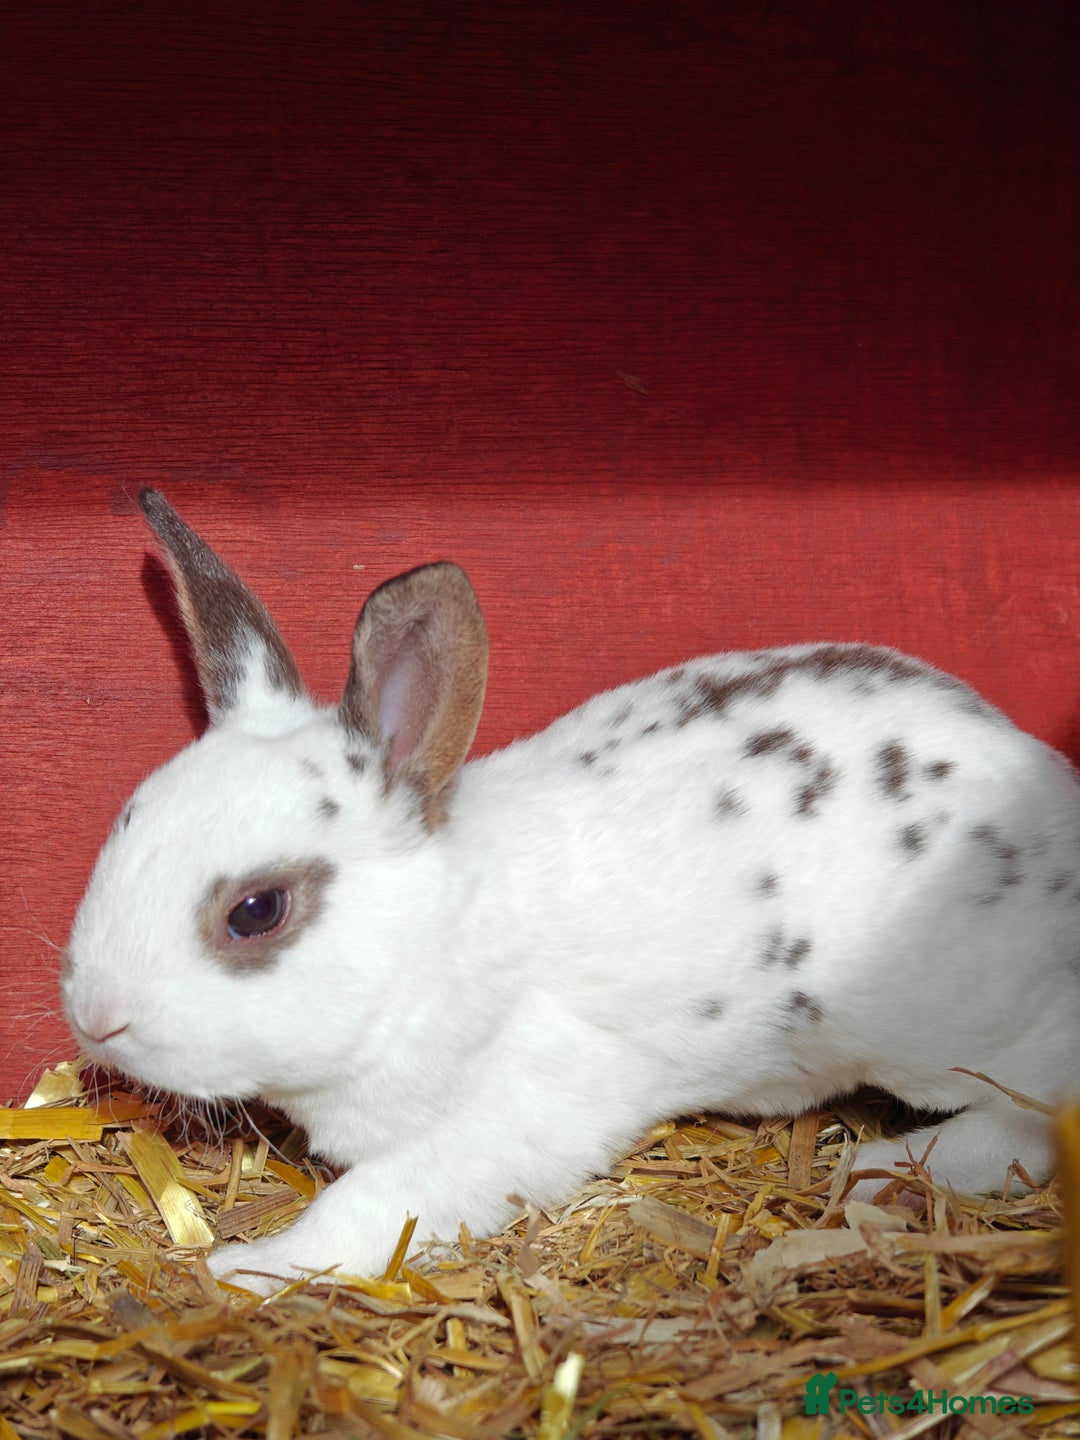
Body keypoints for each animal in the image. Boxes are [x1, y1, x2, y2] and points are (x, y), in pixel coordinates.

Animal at [63, 488, 1080, 1294]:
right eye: (126, 822)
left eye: (255, 912)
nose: (95, 1017)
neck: (439, 946)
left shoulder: (503, 1123)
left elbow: (366, 1211)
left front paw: (242, 1272)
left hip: (959, 1032)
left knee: (1033, 1114)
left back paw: (881, 1168)